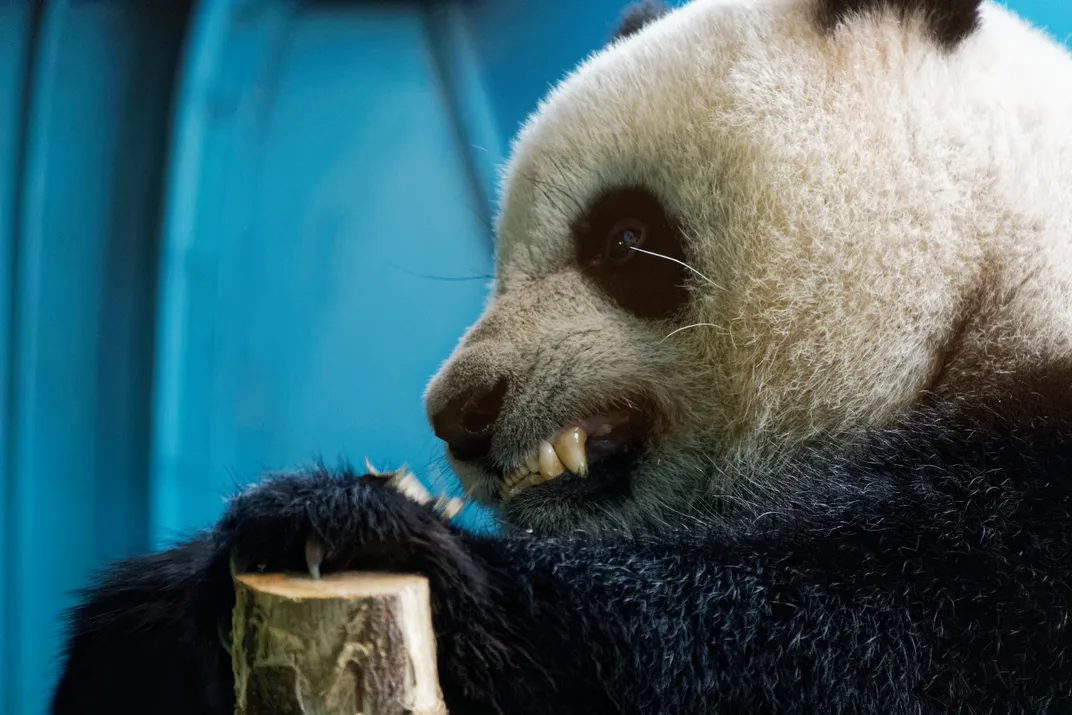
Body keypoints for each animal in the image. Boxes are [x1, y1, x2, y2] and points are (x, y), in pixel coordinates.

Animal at [51, 0, 1072, 713]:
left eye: (624, 239)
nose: (460, 410)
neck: (988, 275)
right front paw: (150, 620)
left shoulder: (1028, 529)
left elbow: (838, 645)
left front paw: (349, 527)